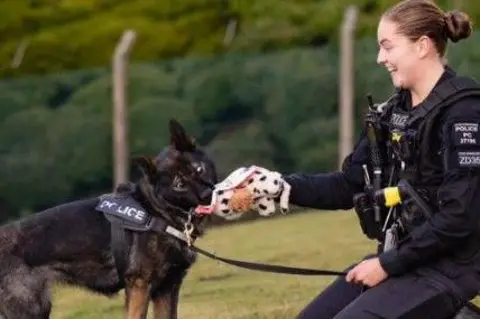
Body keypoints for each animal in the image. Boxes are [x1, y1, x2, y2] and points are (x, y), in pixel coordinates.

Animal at [0, 120, 218, 319]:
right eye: (178, 184)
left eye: (199, 169)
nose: (208, 194)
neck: (156, 211)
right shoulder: (140, 287)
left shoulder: (166, 289)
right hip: (31, 310)